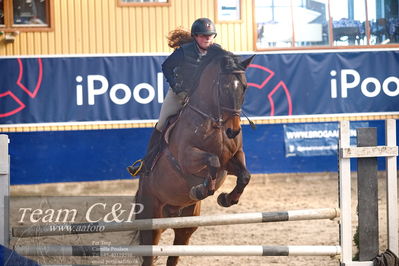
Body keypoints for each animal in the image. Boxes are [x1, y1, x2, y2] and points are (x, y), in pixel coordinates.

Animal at [134, 48, 253, 266]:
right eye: (224, 88)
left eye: (244, 87)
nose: (233, 131)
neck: (215, 121)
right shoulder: (187, 157)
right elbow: (211, 160)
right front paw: (201, 189)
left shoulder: (232, 159)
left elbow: (244, 175)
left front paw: (227, 199)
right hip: (152, 219)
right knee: (149, 253)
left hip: (186, 226)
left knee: (174, 253)